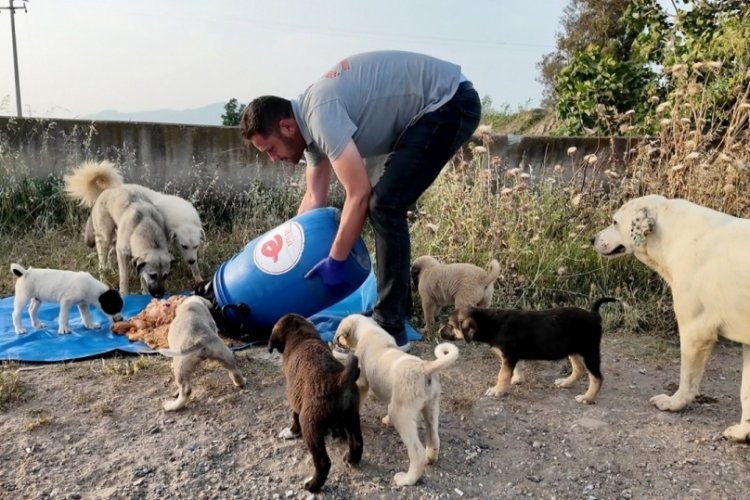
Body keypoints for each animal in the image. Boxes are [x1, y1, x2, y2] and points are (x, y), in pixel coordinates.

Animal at [270, 312, 364, 492]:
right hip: (352, 416)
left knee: (323, 462)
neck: (301, 336)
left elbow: (294, 415)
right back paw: (351, 458)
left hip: (310, 426)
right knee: (357, 442)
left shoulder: (294, 398)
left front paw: (292, 431)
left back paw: (313, 485)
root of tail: (339, 380)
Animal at [334, 314, 462, 486]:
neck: (368, 329)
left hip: (400, 414)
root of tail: (424, 367)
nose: (336, 342)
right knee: (434, 438)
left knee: (417, 452)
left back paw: (406, 479)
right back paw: (430, 458)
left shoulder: (361, 383)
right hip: (431, 407)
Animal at [596, 195, 750, 442]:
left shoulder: (696, 330)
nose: (593, 239)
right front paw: (742, 431)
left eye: (615, 222)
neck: (675, 235)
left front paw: (673, 403)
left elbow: (687, 377)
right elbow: (746, 390)